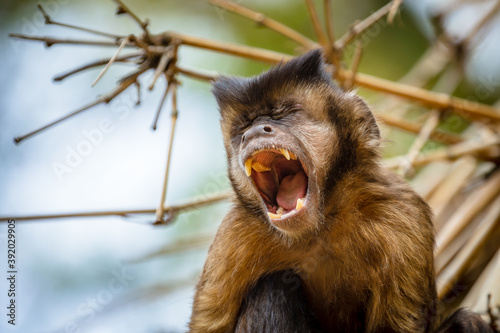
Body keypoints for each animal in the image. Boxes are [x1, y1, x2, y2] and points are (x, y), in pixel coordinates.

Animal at [188, 50, 492, 332]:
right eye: (243, 127)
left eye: (284, 114)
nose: (253, 133)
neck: (321, 227)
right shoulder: (233, 237)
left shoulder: (403, 213)